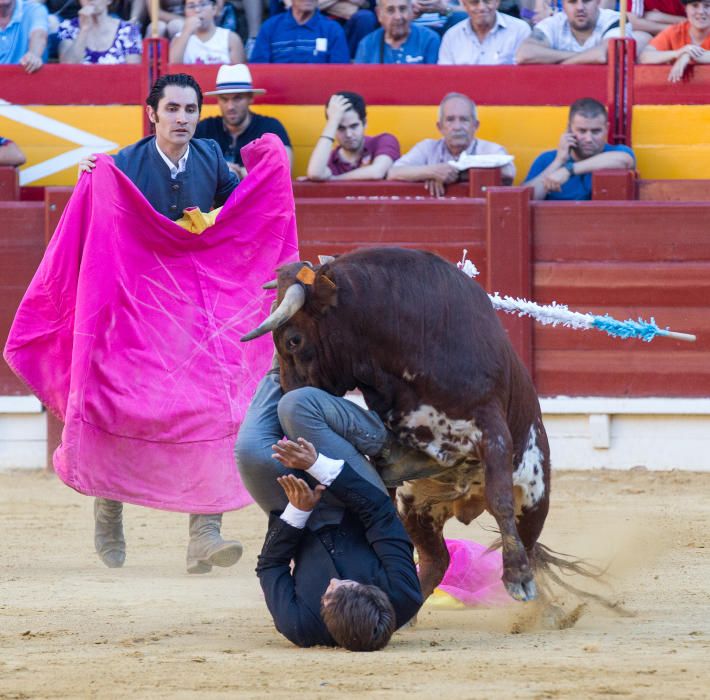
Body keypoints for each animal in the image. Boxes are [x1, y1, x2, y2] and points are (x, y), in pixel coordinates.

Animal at [243, 246, 552, 600]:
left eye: (293, 340)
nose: (285, 396)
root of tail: (466, 502)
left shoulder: (492, 427)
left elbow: (500, 499)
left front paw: (517, 578)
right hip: (417, 510)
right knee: (435, 561)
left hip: (534, 498)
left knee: (526, 540)